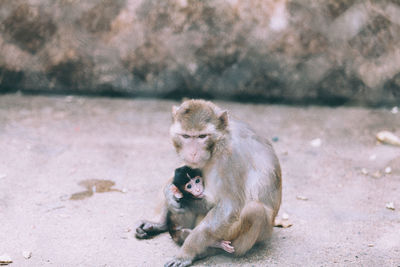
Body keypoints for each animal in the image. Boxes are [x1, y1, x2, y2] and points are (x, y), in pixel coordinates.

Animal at [138, 100, 282, 267]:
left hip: (245, 236)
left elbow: (229, 207)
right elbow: (180, 173)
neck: (219, 142)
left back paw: (211, 249)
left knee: (254, 211)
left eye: (202, 136)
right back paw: (161, 224)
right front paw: (169, 195)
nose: (193, 153)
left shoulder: (230, 157)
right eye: (186, 136)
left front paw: (186, 252)